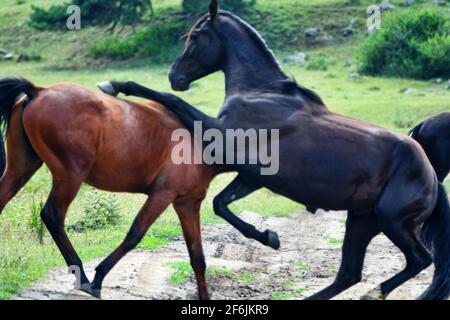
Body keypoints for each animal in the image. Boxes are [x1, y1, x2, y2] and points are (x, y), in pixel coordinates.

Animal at [0, 77, 220, 300]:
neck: (200, 138)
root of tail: (38, 91)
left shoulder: (187, 204)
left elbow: (197, 256)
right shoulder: (163, 195)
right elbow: (134, 235)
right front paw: (98, 278)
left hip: (21, 170)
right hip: (71, 176)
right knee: (52, 215)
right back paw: (82, 277)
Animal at [98, 0, 450, 300]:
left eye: (195, 36)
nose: (175, 76)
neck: (261, 91)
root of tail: (431, 176)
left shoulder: (221, 137)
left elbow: (169, 100)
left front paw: (115, 85)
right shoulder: (252, 175)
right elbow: (221, 204)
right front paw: (269, 237)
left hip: (392, 222)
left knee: (419, 260)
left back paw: (374, 292)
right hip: (362, 221)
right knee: (349, 273)